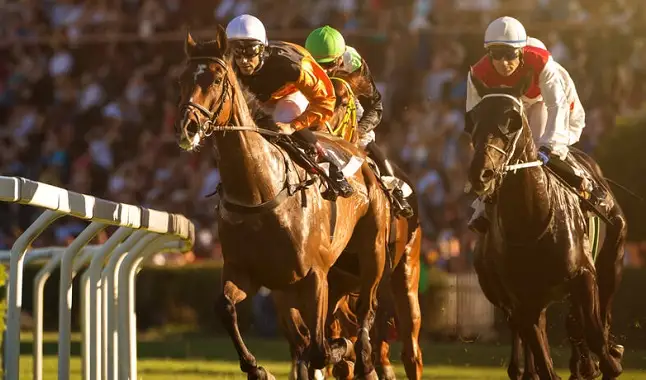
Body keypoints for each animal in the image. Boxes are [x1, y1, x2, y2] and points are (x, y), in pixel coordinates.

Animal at [175, 25, 392, 378]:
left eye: (217, 80)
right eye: (181, 79)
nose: (188, 127)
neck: (259, 190)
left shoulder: (314, 277)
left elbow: (319, 350)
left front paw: (340, 351)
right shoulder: (245, 272)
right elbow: (225, 307)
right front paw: (256, 367)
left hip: (371, 253)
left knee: (365, 309)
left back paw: (363, 357)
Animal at [466, 72, 628, 380]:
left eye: (513, 120)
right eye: (472, 120)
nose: (482, 173)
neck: (532, 221)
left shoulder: (584, 275)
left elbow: (594, 333)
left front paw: (605, 362)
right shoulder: (521, 299)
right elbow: (543, 356)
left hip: (612, 257)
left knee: (598, 314)